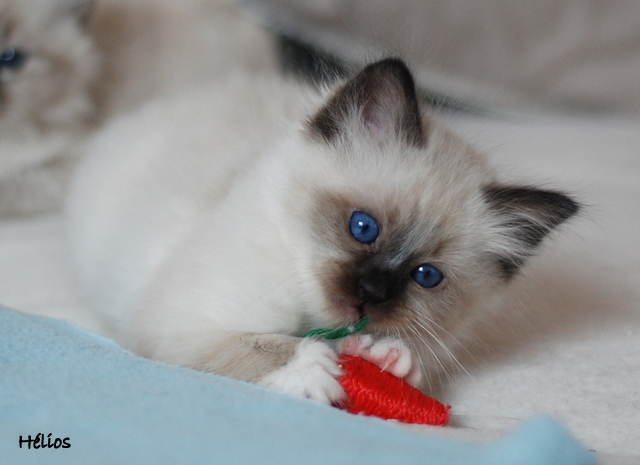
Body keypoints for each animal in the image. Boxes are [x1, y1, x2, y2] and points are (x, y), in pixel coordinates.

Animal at [67, 59, 576, 402]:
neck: (313, 318)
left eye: (426, 276)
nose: (372, 291)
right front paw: (312, 368)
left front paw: (386, 358)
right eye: (363, 227)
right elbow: (257, 343)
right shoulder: (177, 324)